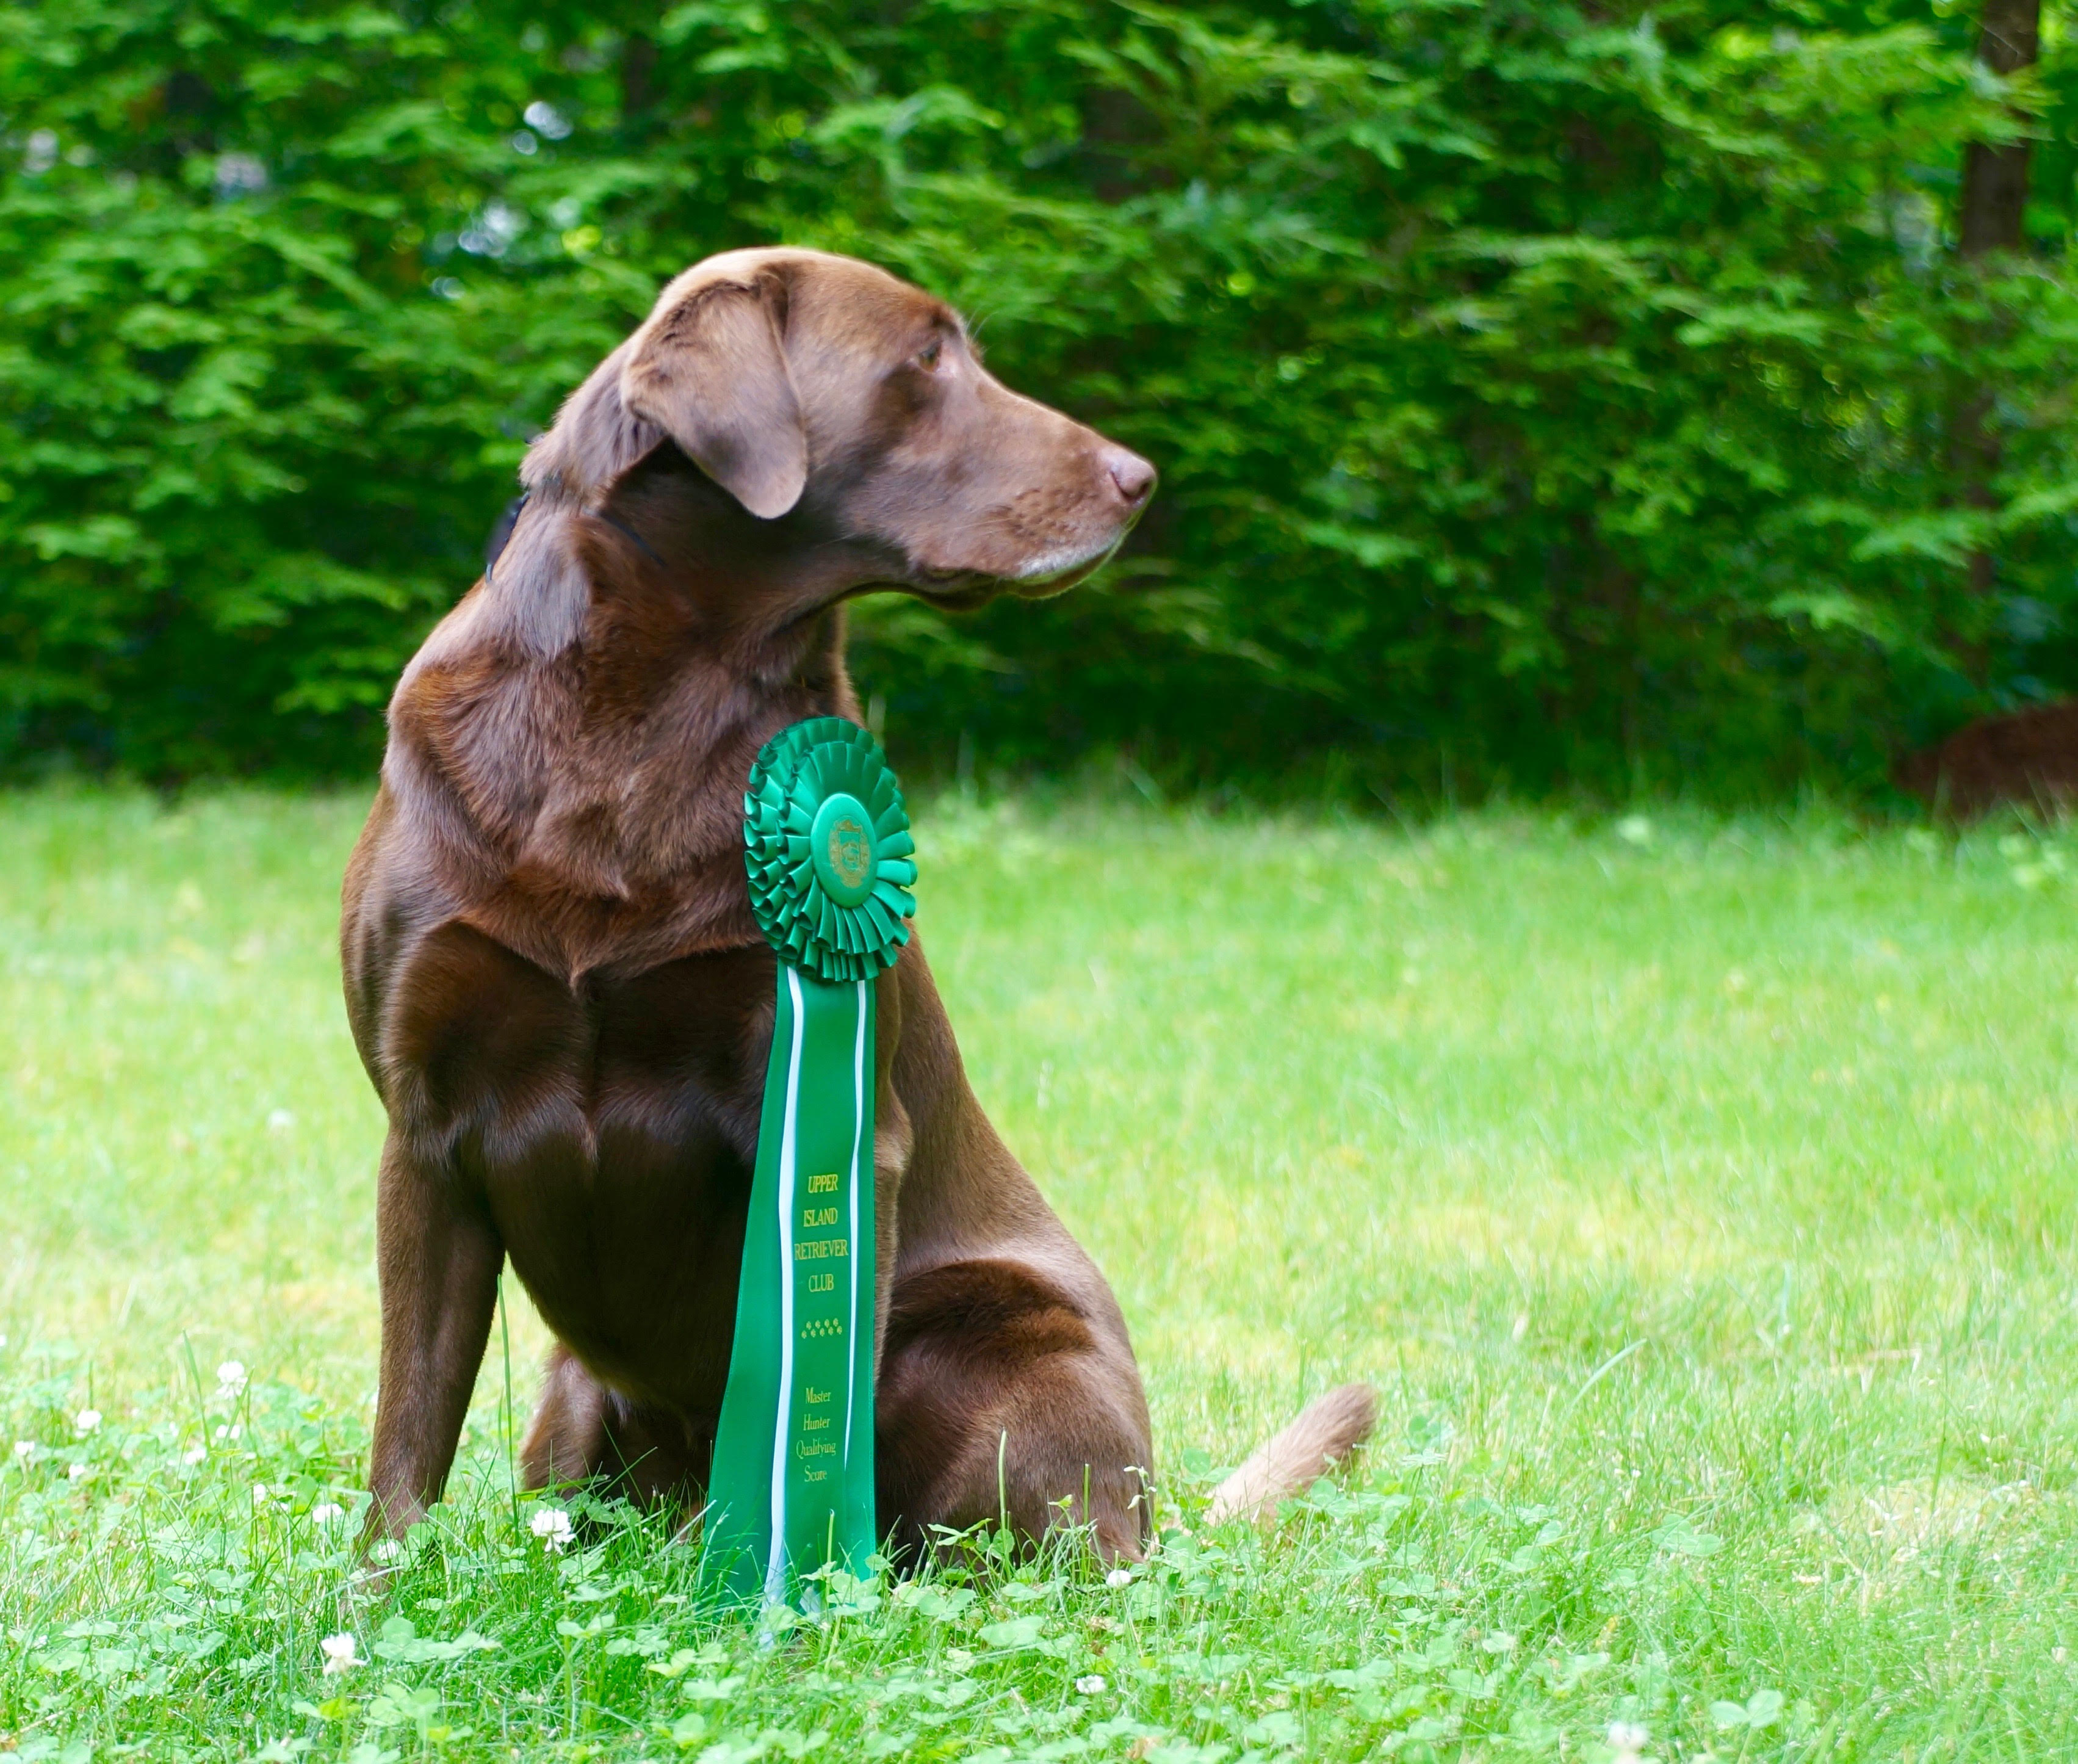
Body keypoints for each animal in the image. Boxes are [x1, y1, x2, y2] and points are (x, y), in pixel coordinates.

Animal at [341, 244, 1371, 1554]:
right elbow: (406, 1435)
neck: (649, 700)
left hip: (1022, 1346)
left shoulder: (828, 1127)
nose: (1138, 480)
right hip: (569, 1408)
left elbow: (813, 1408)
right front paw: (373, 1603)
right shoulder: (424, 1129)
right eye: (926, 359)